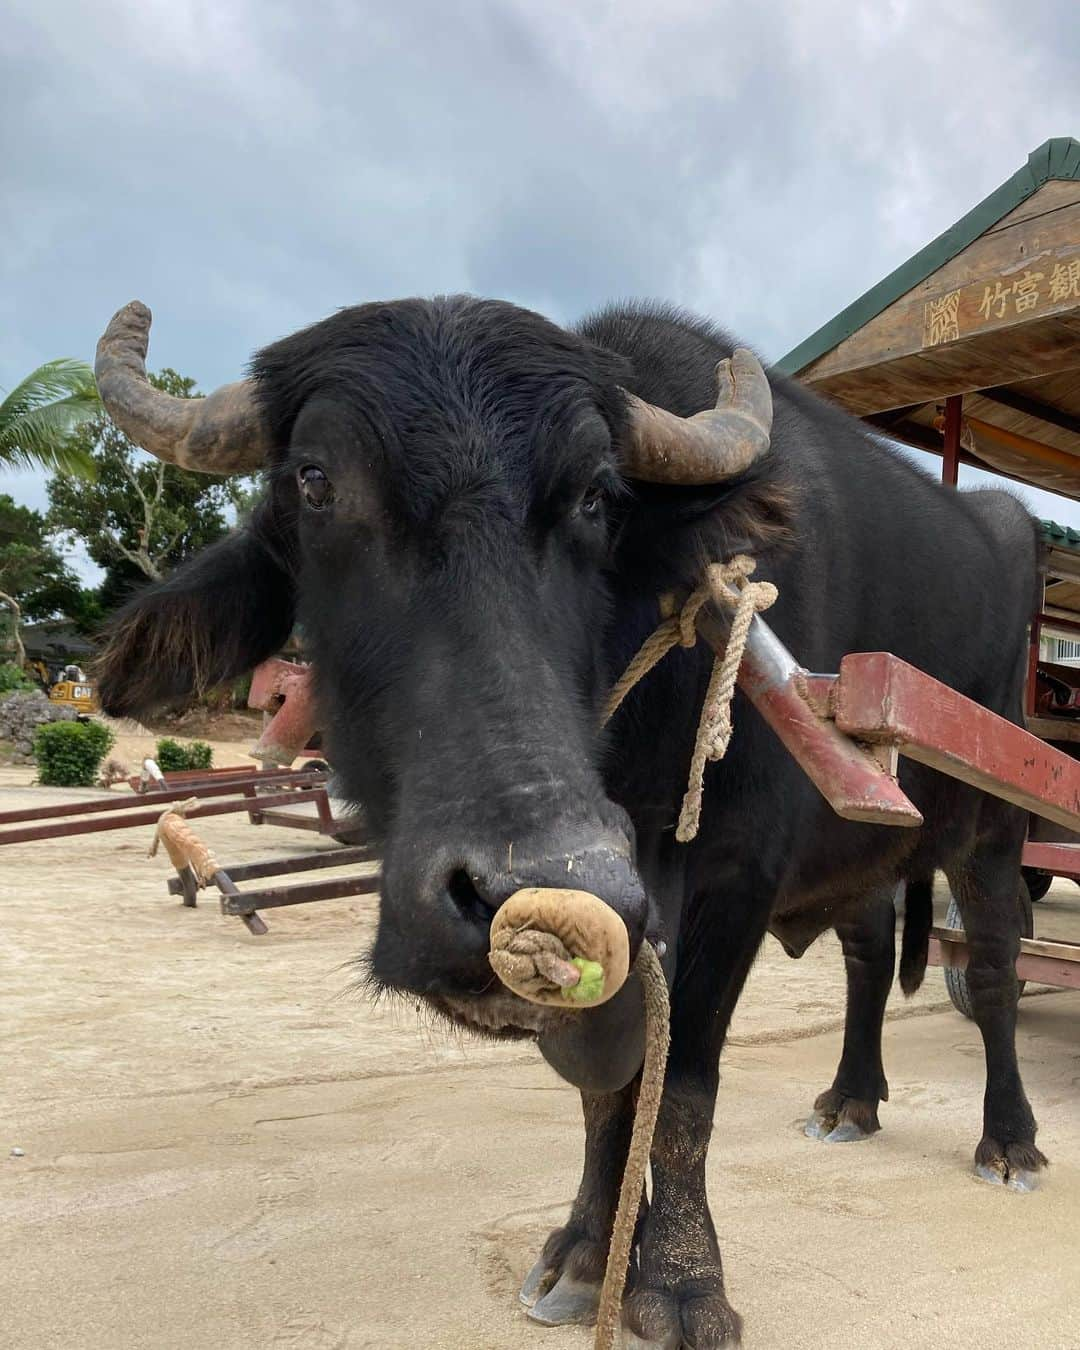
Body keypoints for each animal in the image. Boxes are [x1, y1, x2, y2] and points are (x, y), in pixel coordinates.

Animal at [95, 298, 1047, 1350]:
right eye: (314, 480)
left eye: (596, 498)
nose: (518, 894)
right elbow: (605, 1089)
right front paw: (589, 1255)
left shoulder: (735, 880)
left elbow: (681, 1089)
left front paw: (681, 1283)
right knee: (870, 952)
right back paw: (851, 1098)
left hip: (996, 825)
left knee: (993, 973)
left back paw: (1008, 1140)